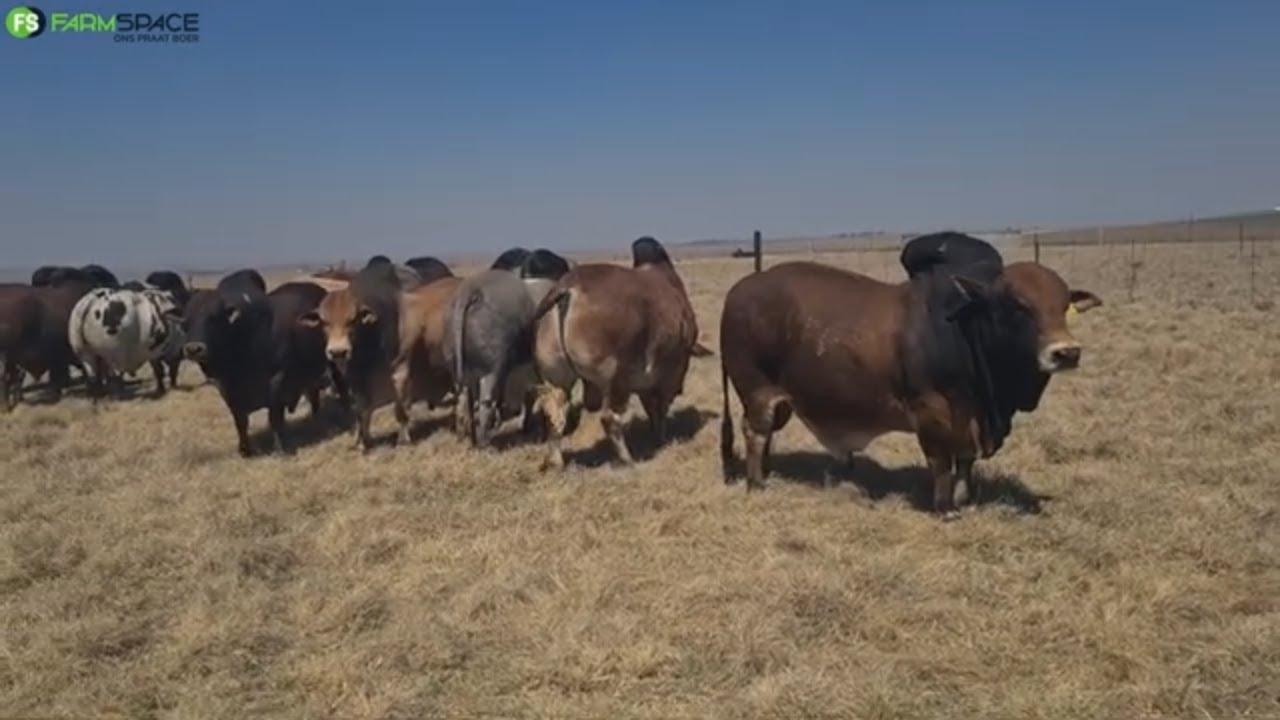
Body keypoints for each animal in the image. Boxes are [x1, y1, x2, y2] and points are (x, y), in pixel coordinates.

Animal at [182, 270, 330, 456]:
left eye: (213, 317)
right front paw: (244, 449)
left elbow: (274, 418)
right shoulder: (228, 391)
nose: (194, 349)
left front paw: (280, 448)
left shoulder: (277, 381)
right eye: (185, 322)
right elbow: (240, 422)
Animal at [304, 264, 460, 450]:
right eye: (324, 321)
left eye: (352, 320)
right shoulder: (358, 384)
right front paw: (362, 441)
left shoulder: (401, 375)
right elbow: (362, 413)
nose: (338, 352)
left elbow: (400, 410)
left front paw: (403, 440)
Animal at [443, 248, 571, 447]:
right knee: (486, 400)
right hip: (492, 367)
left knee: (464, 399)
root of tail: (471, 290)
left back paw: (466, 438)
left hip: (457, 362)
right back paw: (484, 442)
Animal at [532, 237, 699, 469]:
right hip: (615, 378)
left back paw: (556, 461)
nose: (681, 389)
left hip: (557, 380)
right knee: (609, 418)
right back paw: (627, 459)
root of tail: (568, 288)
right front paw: (661, 437)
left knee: (554, 414)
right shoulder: (670, 370)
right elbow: (661, 406)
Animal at [718, 233, 1102, 517]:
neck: (965, 330)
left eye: (1064, 305)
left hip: (781, 400)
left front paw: (964, 499)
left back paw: (766, 471)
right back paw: (757, 483)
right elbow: (941, 462)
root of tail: (738, 290)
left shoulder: (970, 419)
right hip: (757, 391)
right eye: (1015, 305)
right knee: (755, 432)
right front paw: (946, 508)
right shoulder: (931, 412)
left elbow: (965, 461)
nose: (1066, 352)